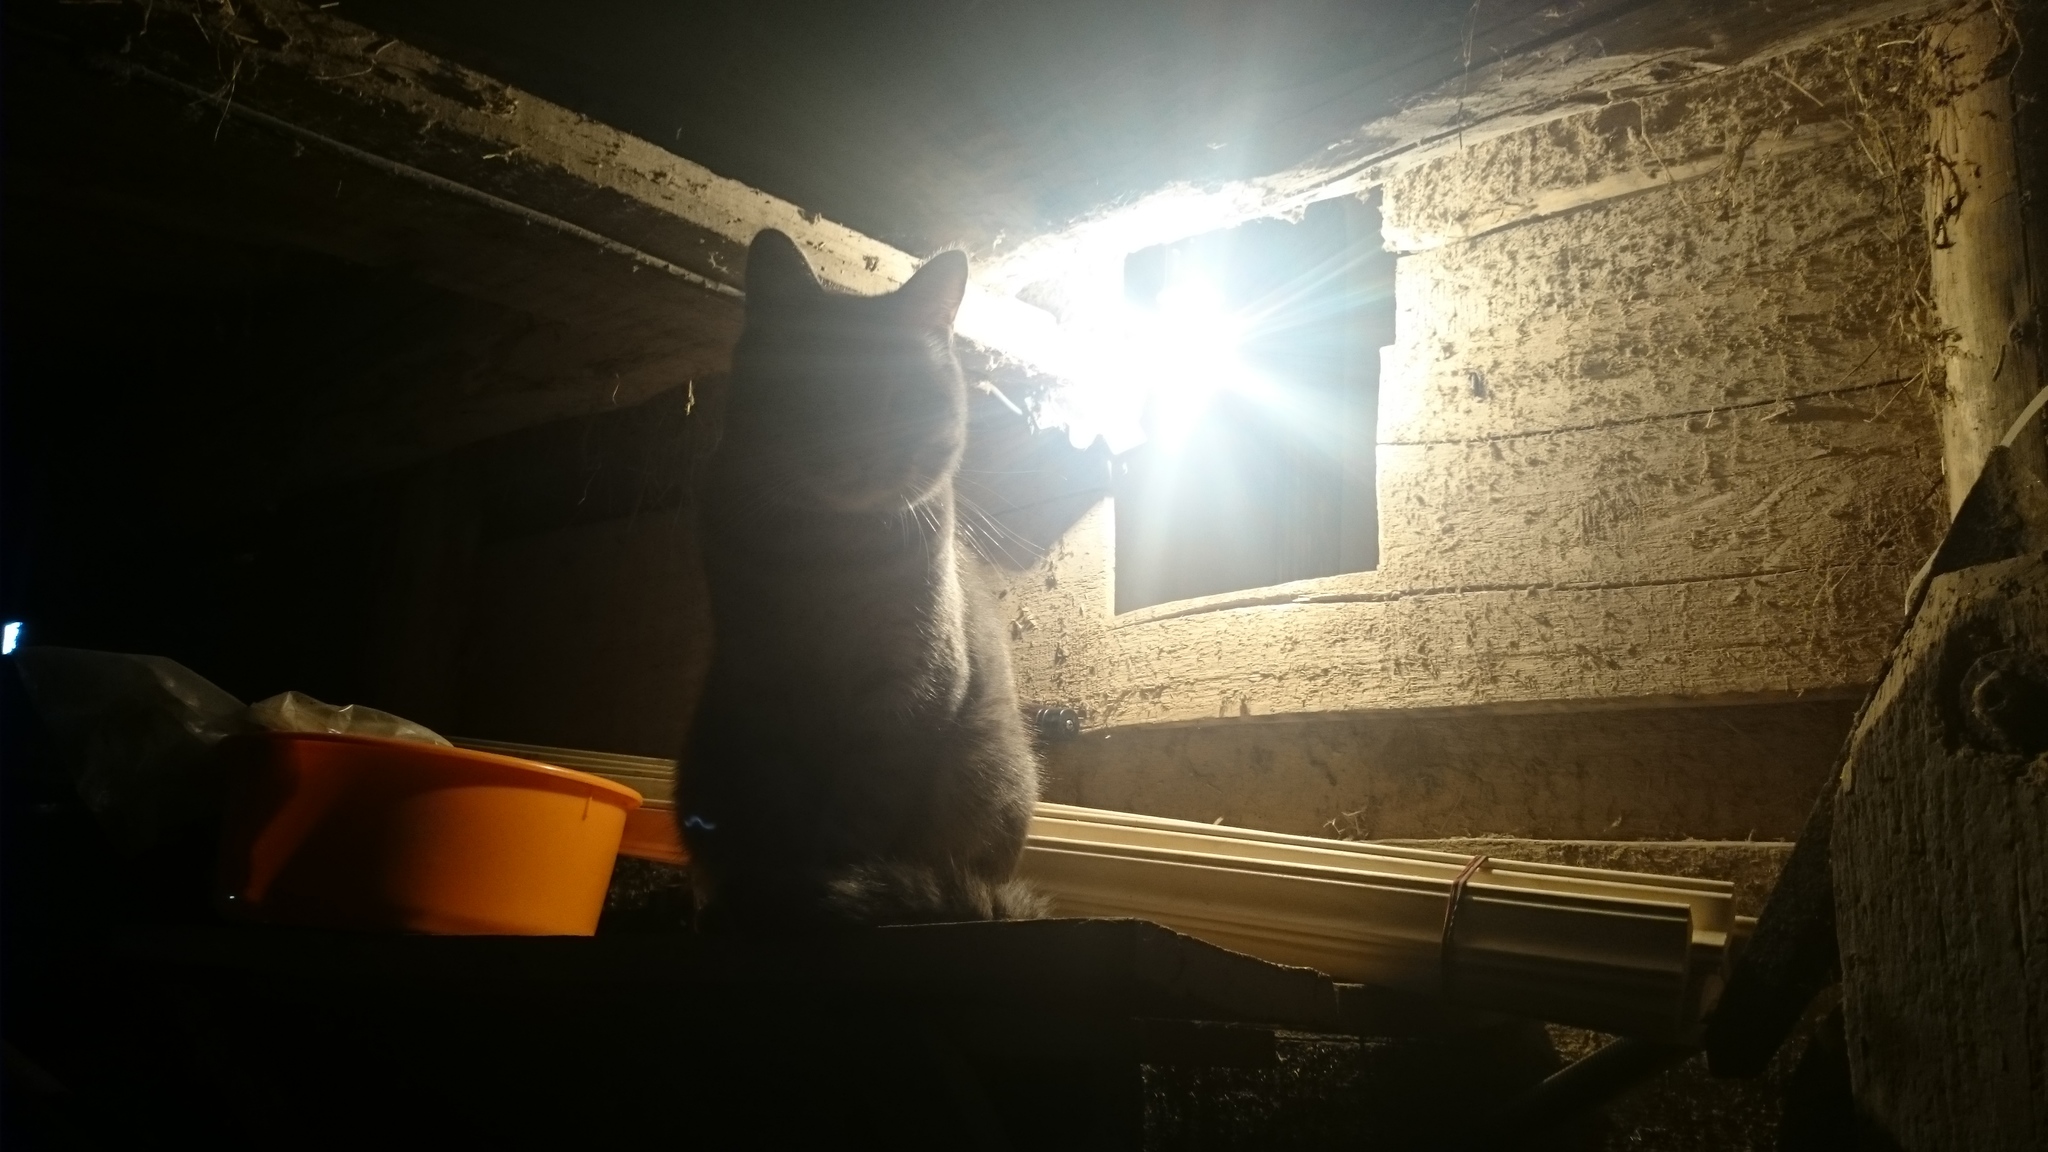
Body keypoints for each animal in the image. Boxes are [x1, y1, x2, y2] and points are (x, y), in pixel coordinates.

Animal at [677, 229, 1045, 930]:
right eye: (813, 388)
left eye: (905, 396)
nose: (859, 448)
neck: (828, 555)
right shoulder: (762, 679)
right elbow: (779, 805)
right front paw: (772, 892)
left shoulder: (908, 688)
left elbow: (860, 817)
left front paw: (828, 890)